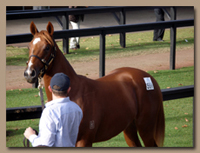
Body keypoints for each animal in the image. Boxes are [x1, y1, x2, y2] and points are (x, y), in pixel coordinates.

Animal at [23, 21, 164, 147]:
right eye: (29, 46)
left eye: (47, 47)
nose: (29, 73)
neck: (72, 93)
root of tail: (148, 77)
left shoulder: (84, 141)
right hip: (129, 128)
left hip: (145, 128)